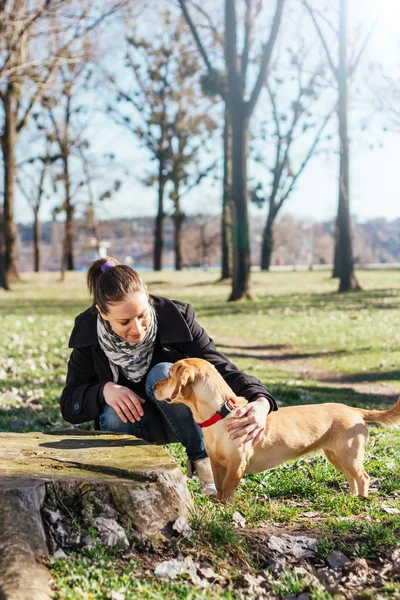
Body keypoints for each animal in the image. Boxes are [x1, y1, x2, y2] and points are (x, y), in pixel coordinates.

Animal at [154, 358, 400, 504]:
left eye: (169, 374)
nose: (153, 387)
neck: (221, 413)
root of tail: (354, 410)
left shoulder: (237, 464)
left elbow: (228, 490)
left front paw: (226, 508)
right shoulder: (216, 463)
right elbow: (219, 486)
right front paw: (219, 504)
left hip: (349, 456)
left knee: (364, 478)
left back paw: (361, 500)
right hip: (336, 457)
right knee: (353, 479)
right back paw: (351, 498)